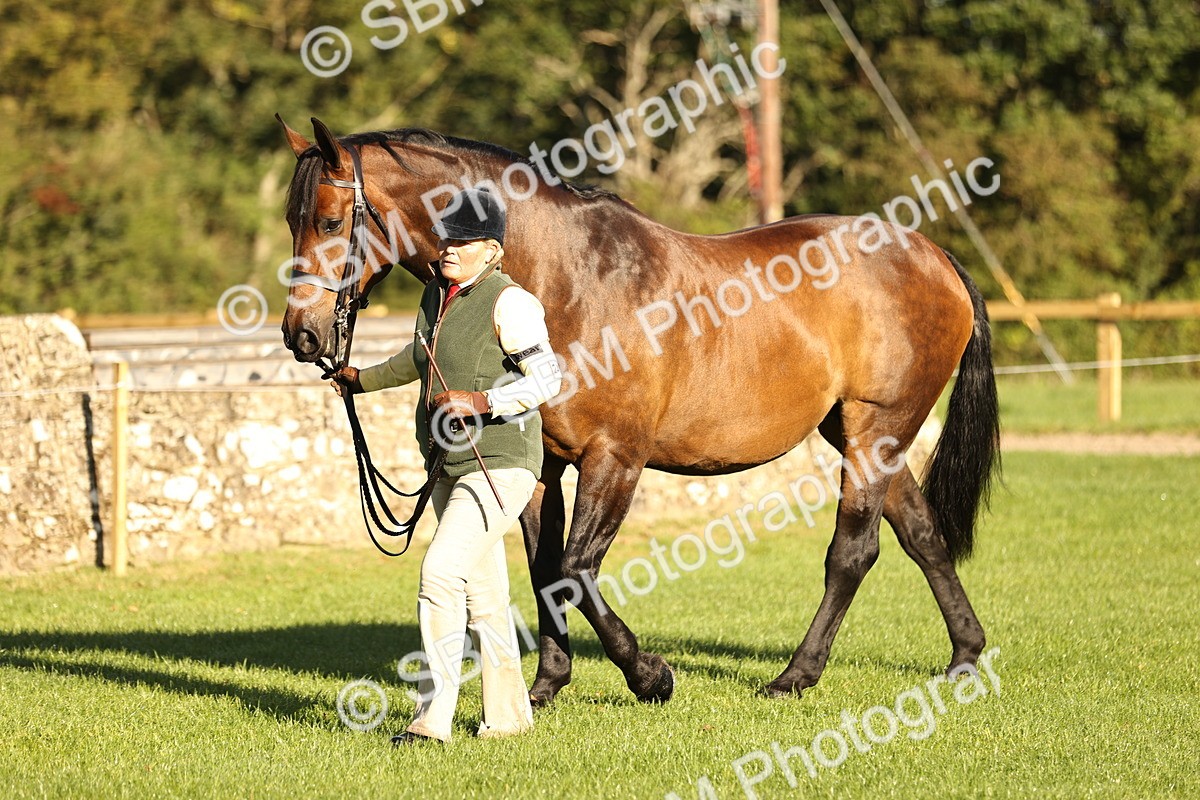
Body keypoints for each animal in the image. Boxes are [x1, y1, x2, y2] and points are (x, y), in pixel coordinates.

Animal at [277, 116, 1000, 704]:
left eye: (331, 222)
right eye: (293, 221)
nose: (301, 336)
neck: (569, 280)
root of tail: (935, 257)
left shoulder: (615, 458)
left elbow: (576, 571)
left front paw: (649, 676)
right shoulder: (542, 466)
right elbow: (546, 572)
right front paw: (547, 685)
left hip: (878, 428)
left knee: (852, 552)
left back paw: (796, 675)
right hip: (860, 432)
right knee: (922, 536)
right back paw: (964, 656)